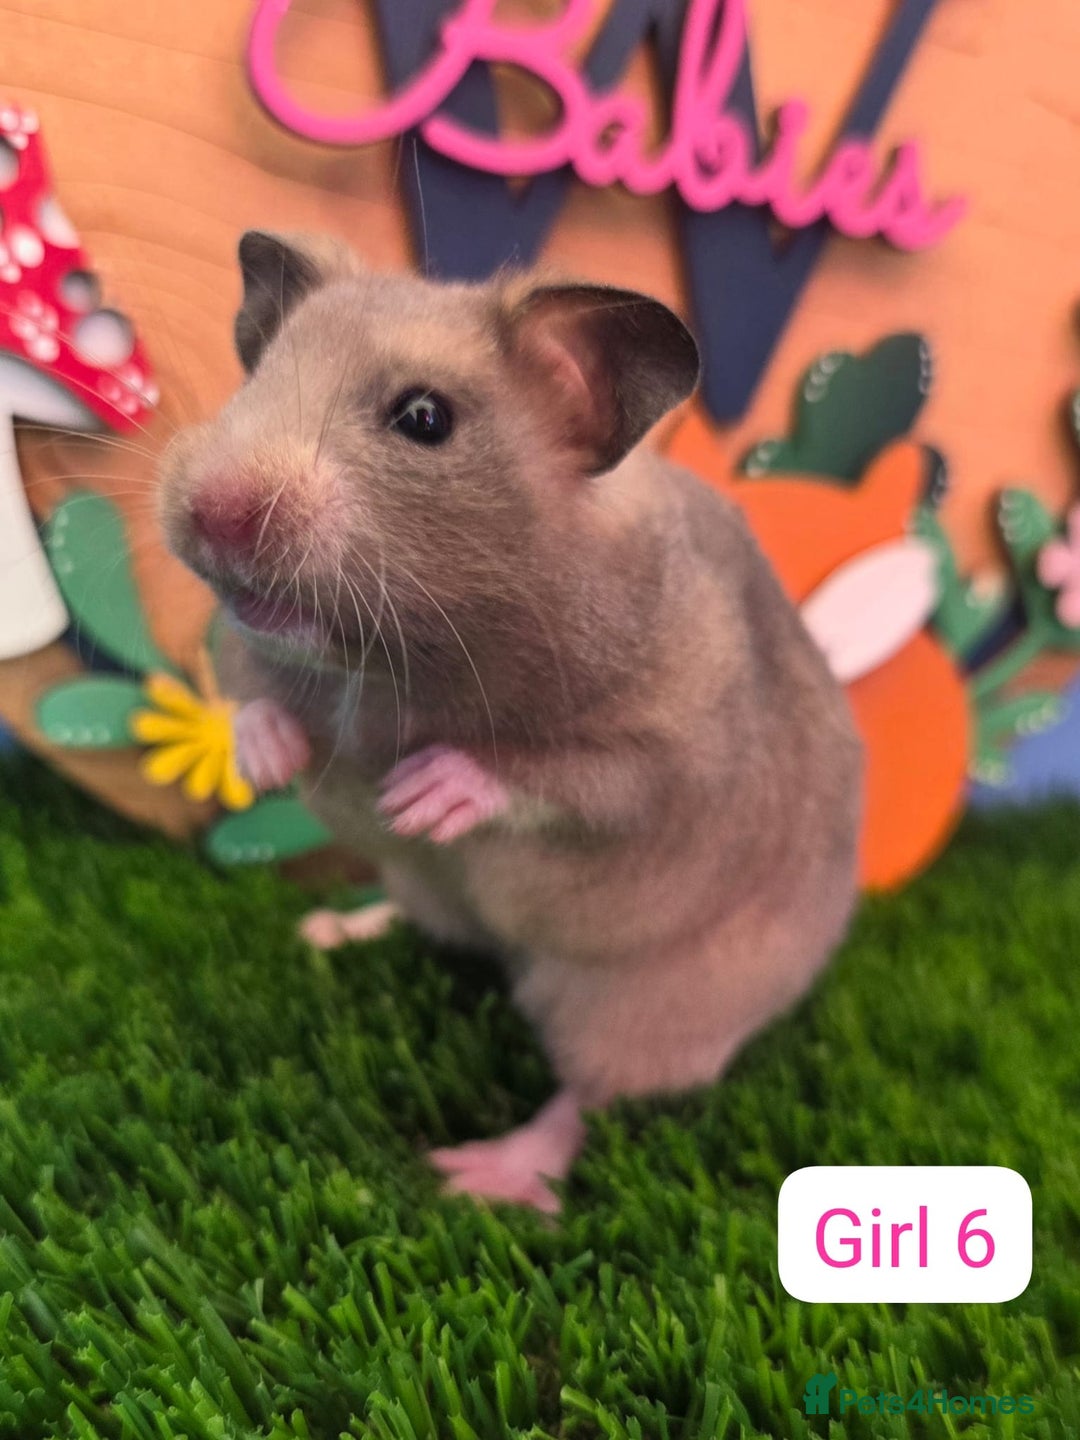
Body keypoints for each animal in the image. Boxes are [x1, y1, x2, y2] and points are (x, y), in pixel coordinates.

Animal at [158, 230, 862, 1212]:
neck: (392, 657)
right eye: (254, 375)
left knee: (584, 1099)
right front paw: (268, 758)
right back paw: (328, 930)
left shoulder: (671, 757)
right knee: (420, 914)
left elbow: (569, 775)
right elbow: (251, 692)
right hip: (437, 899)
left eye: (424, 419)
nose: (213, 512)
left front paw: (419, 794)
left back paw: (473, 1174)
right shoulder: (248, 649)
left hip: (645, 1006)